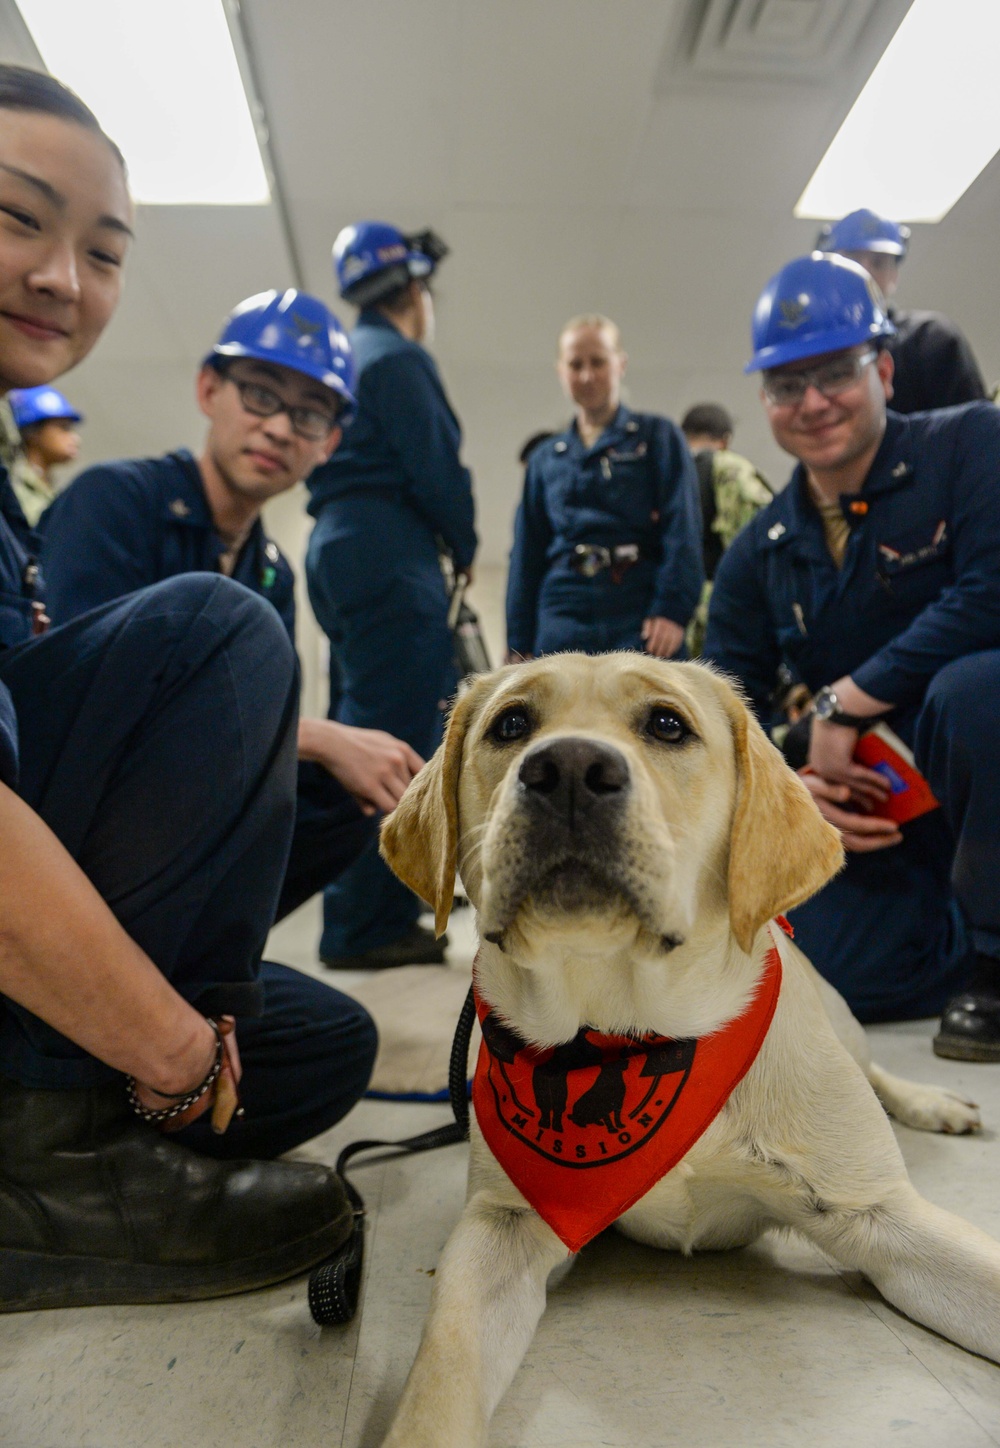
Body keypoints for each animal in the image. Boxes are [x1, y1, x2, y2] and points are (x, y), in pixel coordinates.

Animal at [379, 660, 989, 1448]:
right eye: (510, 724)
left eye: (668, 725)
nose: (567, 770)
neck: (634, 1032)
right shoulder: (500, 1226)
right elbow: (440, 1375)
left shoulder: (880, 1215)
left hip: (846, 1028)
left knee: (876, 1067)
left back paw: (935, 1102)